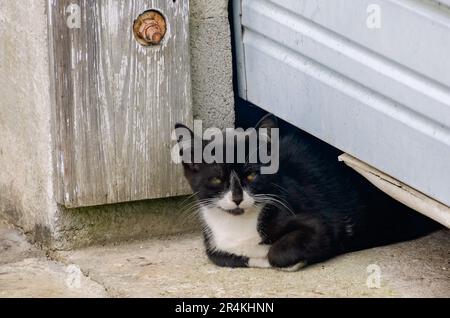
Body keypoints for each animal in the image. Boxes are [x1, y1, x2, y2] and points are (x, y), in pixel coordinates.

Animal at [174, 114, 438, 270]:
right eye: (217, 178)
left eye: (251, 175)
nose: (237, 198)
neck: (240, 227)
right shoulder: (215, 246)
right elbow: (223, 256)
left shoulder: (321, 222)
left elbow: (280, 251)